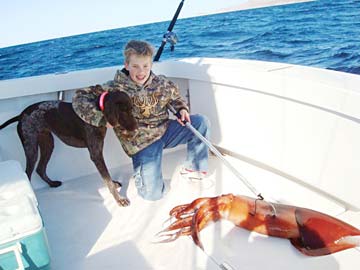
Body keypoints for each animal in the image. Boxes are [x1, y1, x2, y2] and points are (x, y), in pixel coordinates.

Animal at [0, 86, 138, 207]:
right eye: (123, 111)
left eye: (131, 109)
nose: (136, 127)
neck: (98, 109)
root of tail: (21, 115)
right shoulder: (96, 154)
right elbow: (107, 179)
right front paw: (119, 199)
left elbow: (107, 176)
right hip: (31, 147)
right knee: (28, 173)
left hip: (47, 143)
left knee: (40, 169)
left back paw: (52, 183)